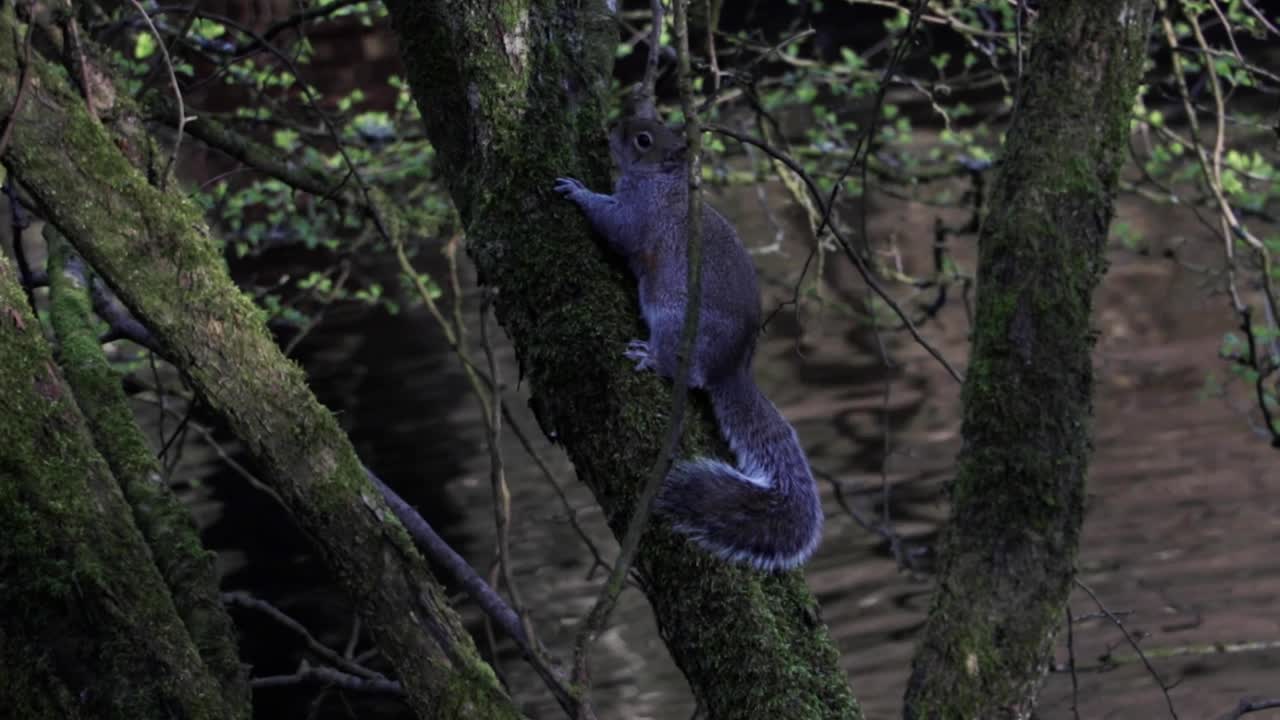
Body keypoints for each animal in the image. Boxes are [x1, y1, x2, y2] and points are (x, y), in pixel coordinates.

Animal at [553, 117, 823, 572]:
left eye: (644, 139)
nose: (610, 126)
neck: (666, 180)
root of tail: (731, 367)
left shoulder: (641, 213)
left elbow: (616, 226)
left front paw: (578, 192)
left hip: (676, 323)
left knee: (687, 373)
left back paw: (651, 357)